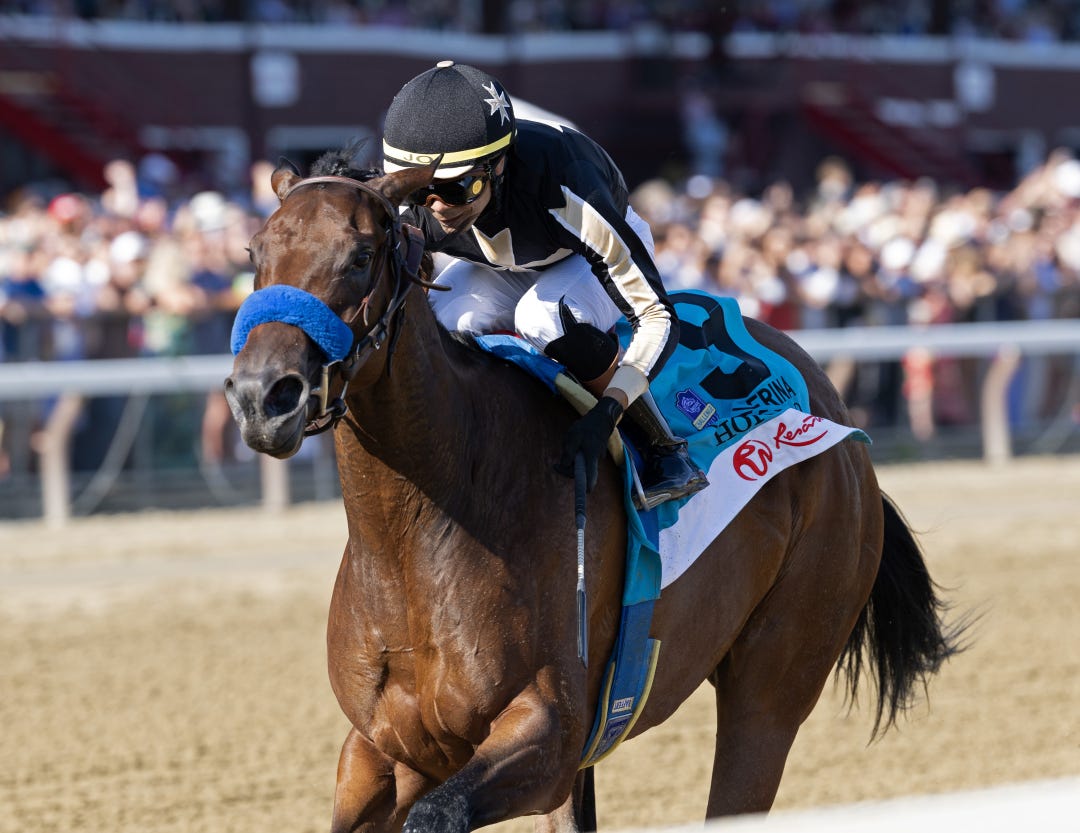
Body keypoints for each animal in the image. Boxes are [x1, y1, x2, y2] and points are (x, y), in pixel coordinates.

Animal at [224, 148, 961, 833]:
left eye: (360, 255)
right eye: (254, 252)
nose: (264, 395)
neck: (418, 532)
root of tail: (832, 405)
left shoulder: (550, 733)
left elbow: (440, 812)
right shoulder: (382, 750)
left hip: (774, 682)